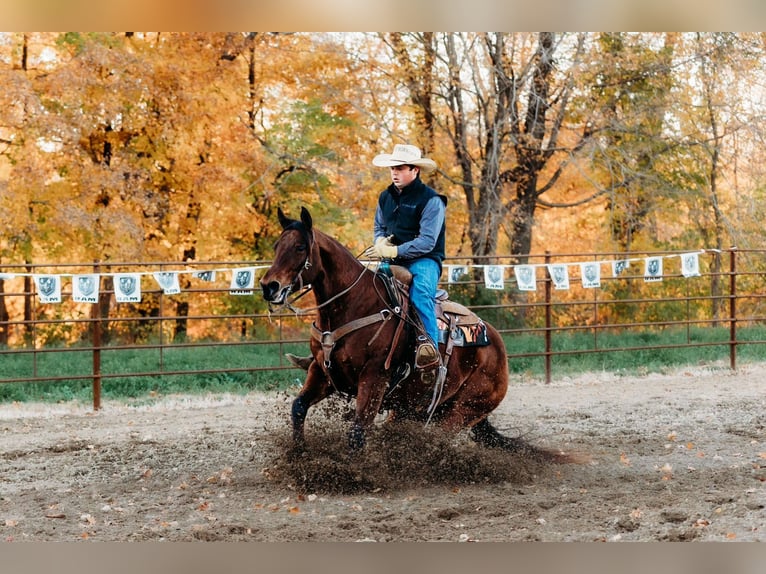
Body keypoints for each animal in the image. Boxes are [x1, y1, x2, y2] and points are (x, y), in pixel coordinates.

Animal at [260, 207, 560, 460]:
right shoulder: (322, 372)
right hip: (413, 405)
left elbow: (357, 431)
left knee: (438, 439)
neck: (353, 305)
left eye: (300, 247)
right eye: (276, 246)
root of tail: (498, 349)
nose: (268, 286)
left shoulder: (374, 378)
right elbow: (299, 407)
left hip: (465, 409)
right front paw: (299, 455)